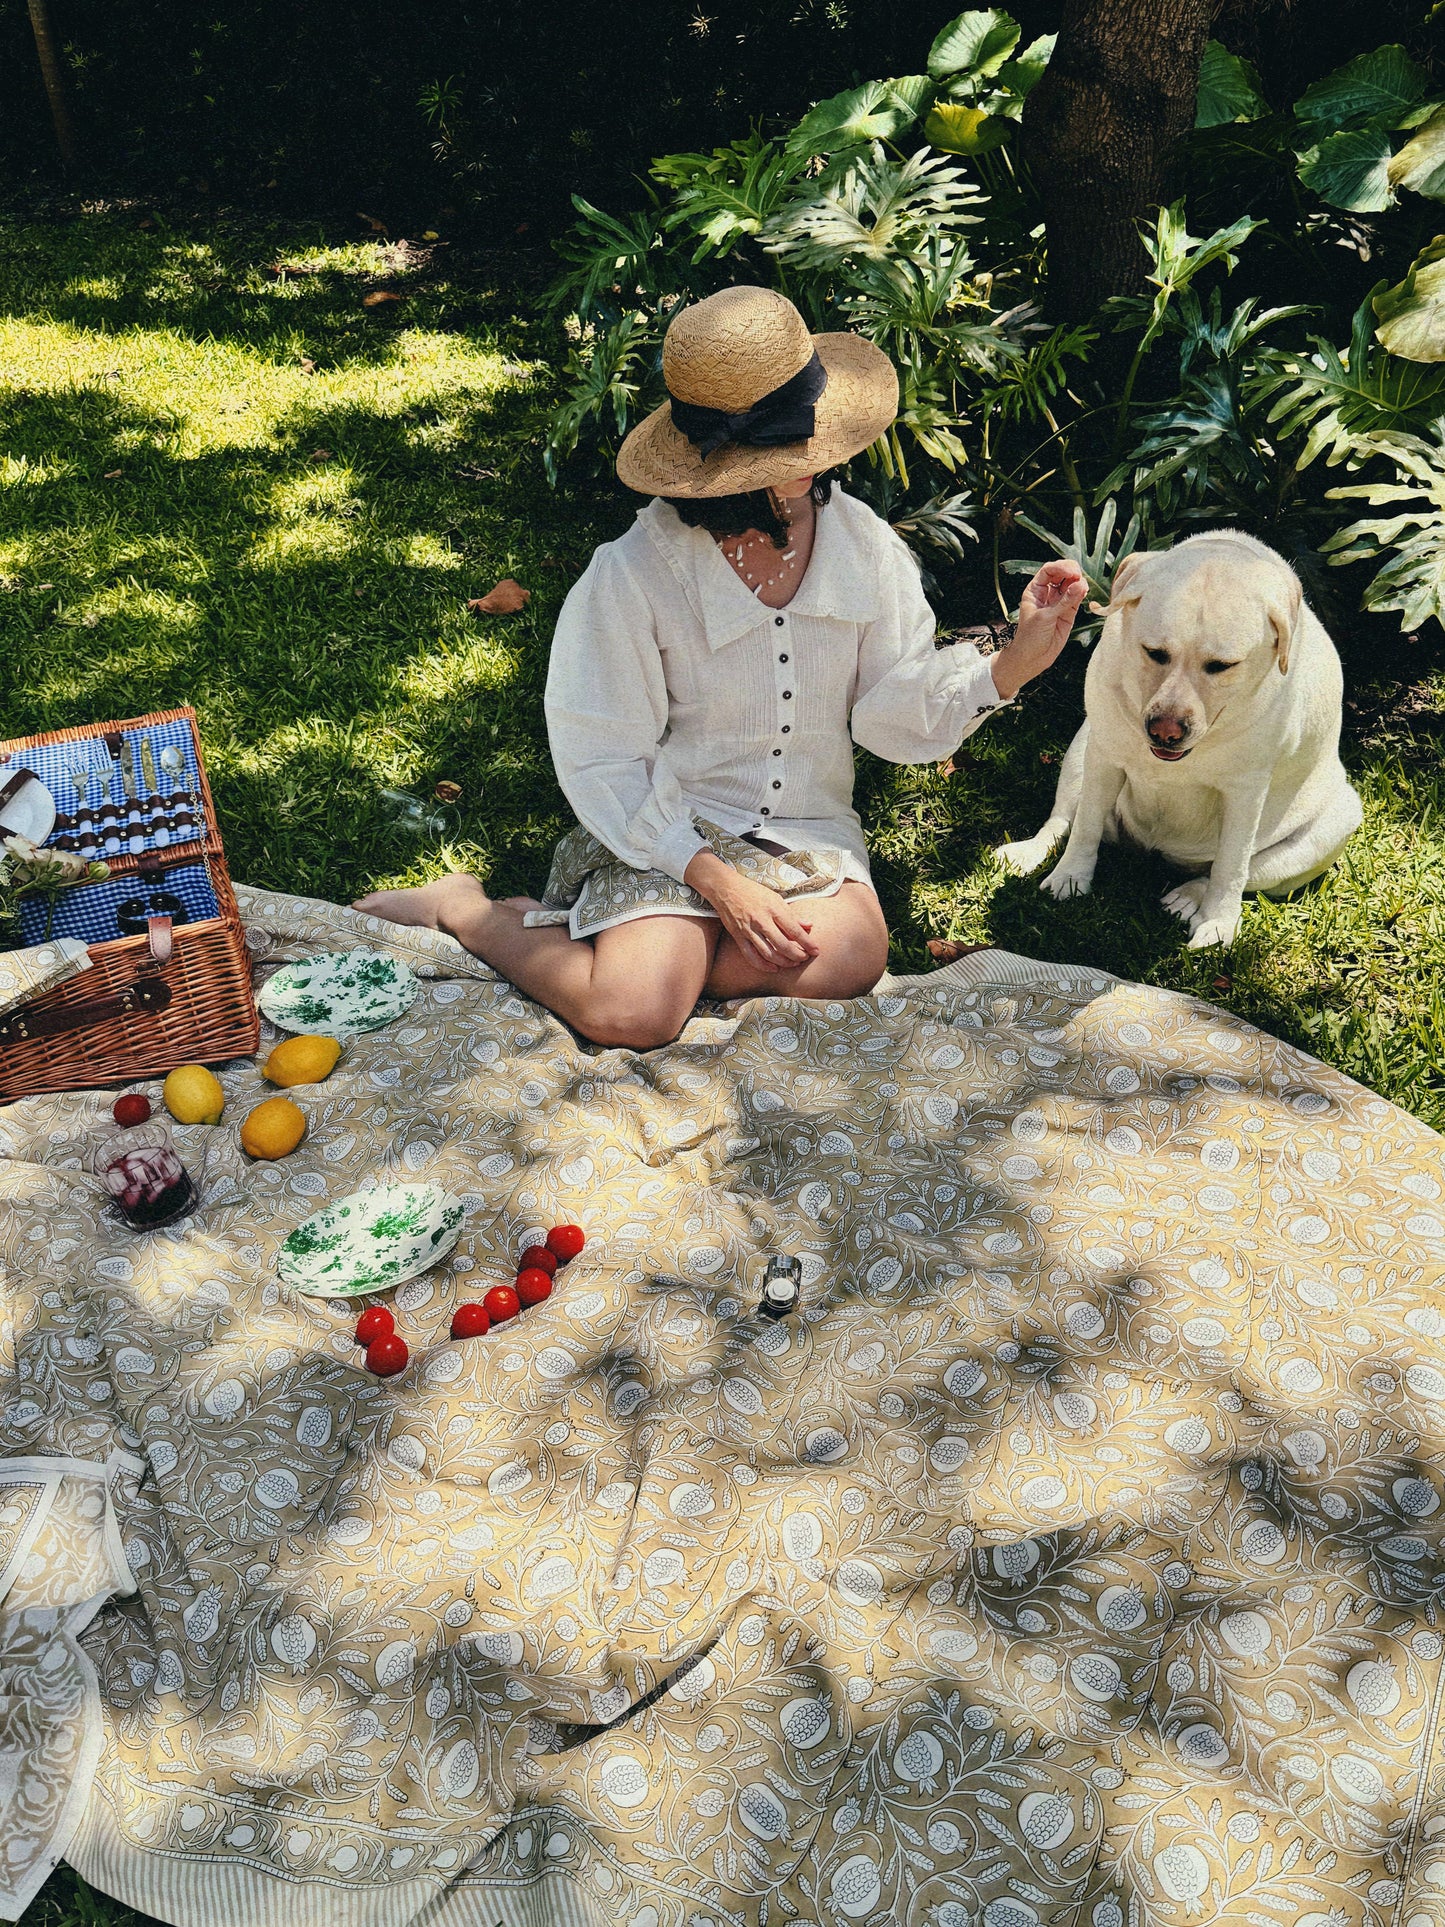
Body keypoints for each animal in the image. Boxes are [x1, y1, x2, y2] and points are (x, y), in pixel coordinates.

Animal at [1001, 527, 1364, 948]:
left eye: (1222, 666)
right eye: (1154, 653)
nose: (1166, 730)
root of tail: (1155, 850)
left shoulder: (1246, 792)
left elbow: (1231, 866)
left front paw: (1219, 923)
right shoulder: (1104, 755)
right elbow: (1085, 827)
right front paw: (1070, 877)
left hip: (1337, 822)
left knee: (1231, 872)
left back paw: (1189, 898)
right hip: (1082, 745)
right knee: (1062, 819)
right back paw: (1029, 852)